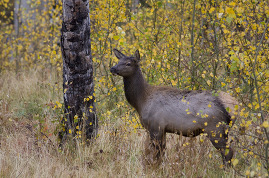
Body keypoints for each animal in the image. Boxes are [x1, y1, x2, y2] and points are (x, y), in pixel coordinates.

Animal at [110, 48, 238, 165]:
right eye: (118, 60)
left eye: (128, 63)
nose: (113, 68)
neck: (140, 101)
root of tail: (234, 107)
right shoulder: (162, 129)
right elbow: (161, 152)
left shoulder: (155, 126)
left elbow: (157, 153)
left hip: (215, 128)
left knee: (227, 152)